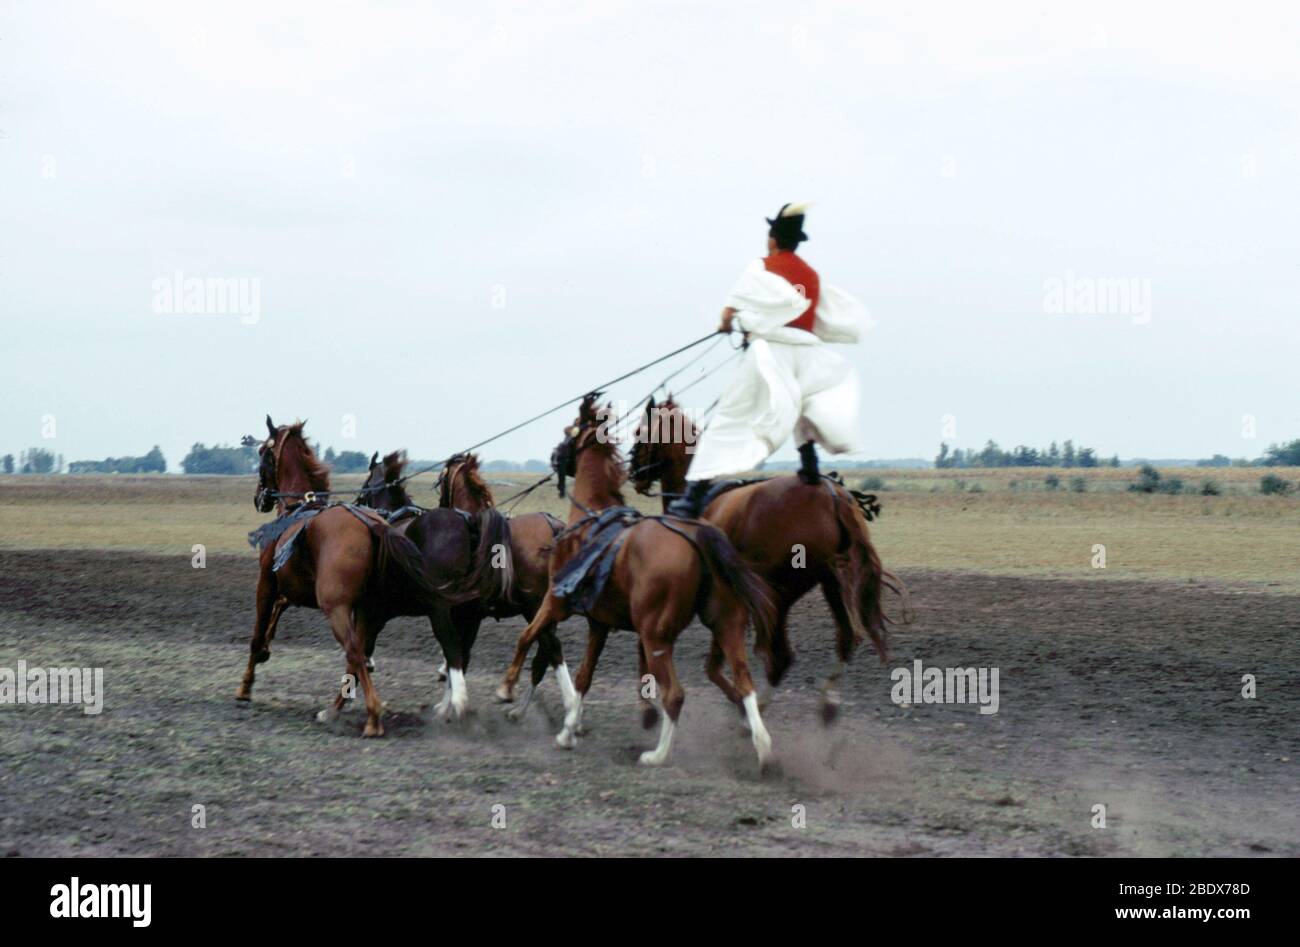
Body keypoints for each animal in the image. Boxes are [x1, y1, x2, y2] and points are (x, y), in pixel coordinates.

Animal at [235, 418, 467, 733]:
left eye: (263, 453)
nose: (260, 498)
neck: (299, 509)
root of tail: (373, 525)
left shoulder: (267, 584)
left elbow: (258, 632)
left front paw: (245, 686)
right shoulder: (297, 590)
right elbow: (276, 616)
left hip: (339, 608)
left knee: (356, 651)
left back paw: (374, 715)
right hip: (370, 609)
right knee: (358, 656)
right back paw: (335, 710)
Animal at [501, 395, 774, 764]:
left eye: (569, 430)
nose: (555, 456)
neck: (590, 519)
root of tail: (698, 537)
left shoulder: (555, 602)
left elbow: (526, 636)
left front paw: (506, 688)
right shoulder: (599, 624)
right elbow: (584, 677)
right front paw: (568, 731)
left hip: (655, 633)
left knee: (675, 694)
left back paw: (657, 755)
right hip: (726, 624)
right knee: (745, 683)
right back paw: (763, 747)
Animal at [629, 395, 904, 723]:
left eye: (639, 432)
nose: (633, 474)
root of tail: (831, 494)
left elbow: (708, 665)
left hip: (780, 591)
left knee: (781, 657)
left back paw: (757, 708)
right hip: (831, 583)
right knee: (845, 639)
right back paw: (826, 701)